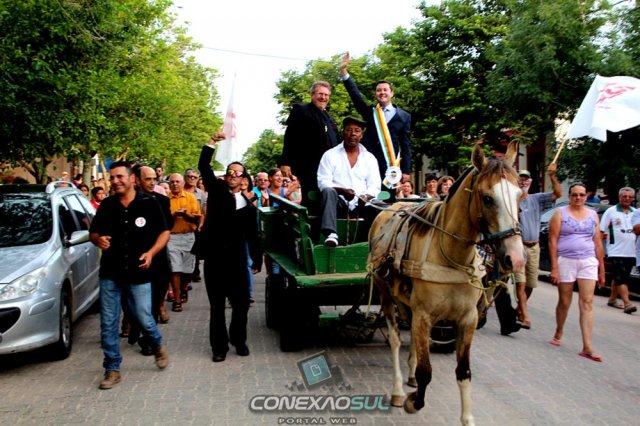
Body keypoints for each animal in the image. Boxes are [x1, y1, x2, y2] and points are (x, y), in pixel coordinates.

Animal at [367, 142, 525, 426]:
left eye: (520, 196)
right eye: (487, 198)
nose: (515, 258)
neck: (452, 257)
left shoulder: (468, 319)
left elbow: (464, 372)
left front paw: (468, 418)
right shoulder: (424, 315)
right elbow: (426, 372)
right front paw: (412, 402)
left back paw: (408, 375)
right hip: (385, 293)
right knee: (395, 339)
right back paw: (398, 390)